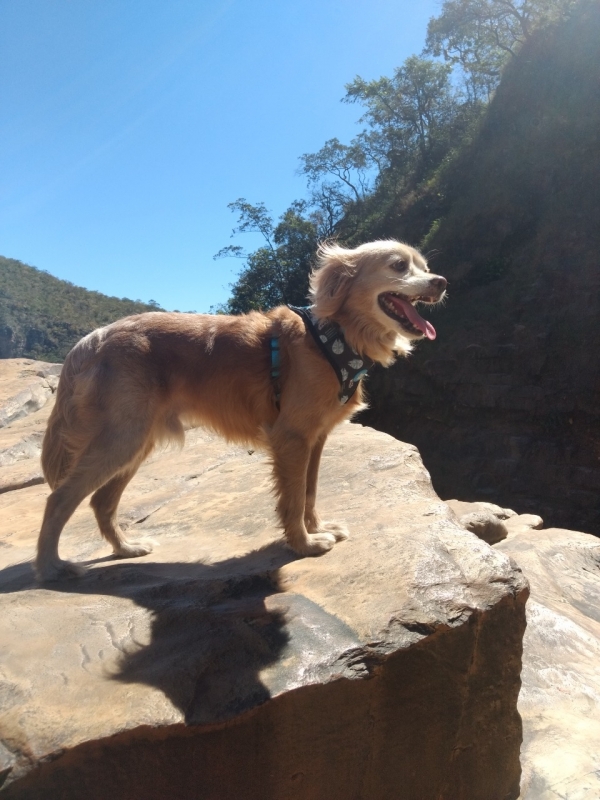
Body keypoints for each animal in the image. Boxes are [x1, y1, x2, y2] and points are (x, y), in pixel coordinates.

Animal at [34, 239, 446, 580]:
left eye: (425, 266)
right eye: (398, 265)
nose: (441, 281)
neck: (333, 338)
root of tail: (91, 339)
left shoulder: (315, 439)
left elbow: (309, 492)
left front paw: (317, 528)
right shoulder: (291, 438)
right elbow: (294, 498)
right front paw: (304, 544)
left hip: (136, 441)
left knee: (102, 501)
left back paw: (126, 548)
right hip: (123, 437)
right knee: (59, 498)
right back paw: (51, 566)